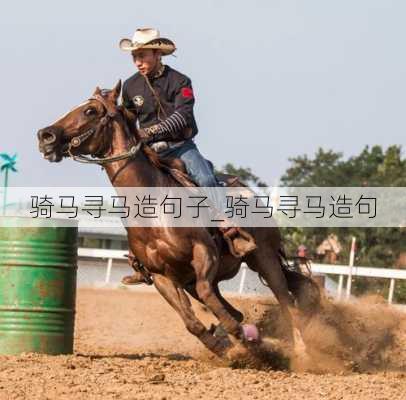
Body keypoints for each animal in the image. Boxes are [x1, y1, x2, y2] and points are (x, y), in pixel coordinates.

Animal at [36, 81, 318, 360]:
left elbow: (209, 298)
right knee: (233, 307)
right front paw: (224, 346)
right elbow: (191, 322)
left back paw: (301, 351)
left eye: (90, 111)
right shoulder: (162, 275)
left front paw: (241, 339)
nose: (45, 136)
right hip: (197, 279)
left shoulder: (204, 253)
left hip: (264, 258)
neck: (153, 209)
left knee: (286, 301)